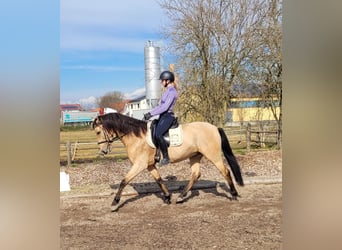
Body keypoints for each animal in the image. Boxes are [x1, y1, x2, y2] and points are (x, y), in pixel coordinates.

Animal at [92, 113, 244, 211]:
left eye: (98, 132)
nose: (103, 152)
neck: (135, 136)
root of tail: (215, 128)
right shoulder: (149, 165)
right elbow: (159, 180)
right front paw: (167, 197)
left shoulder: (139, 164)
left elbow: (124, 181)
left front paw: (114, 203)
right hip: (195, 156)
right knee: (196, 174)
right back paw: (181, 197)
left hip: (213, 155)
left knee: (225, 171)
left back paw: (234, 194)